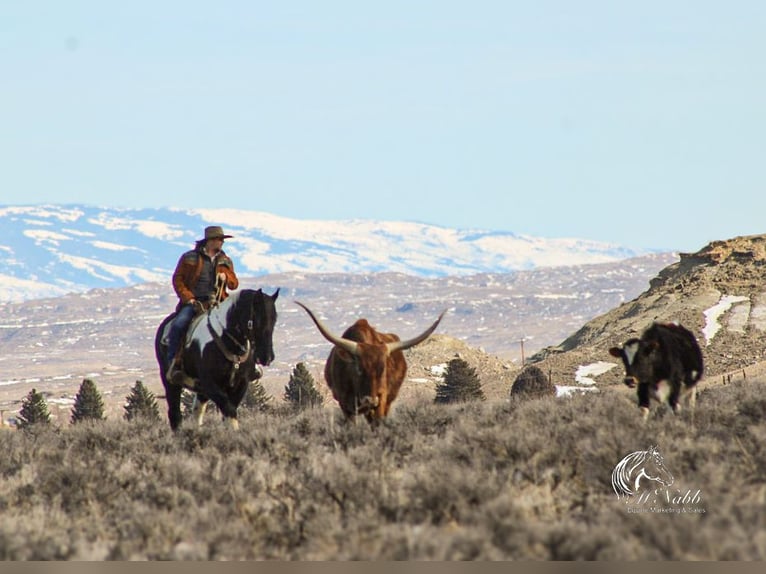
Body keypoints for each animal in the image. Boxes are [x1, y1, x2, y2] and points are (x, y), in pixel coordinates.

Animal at [154, 290, 280, 430]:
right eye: (256, 320)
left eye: (274, 319)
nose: (267, 357)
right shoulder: (210, 384)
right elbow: (229, 410)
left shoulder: (241, 384)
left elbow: (229, 412)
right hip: (170, 381)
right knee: (175, 414)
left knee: (197, 412)